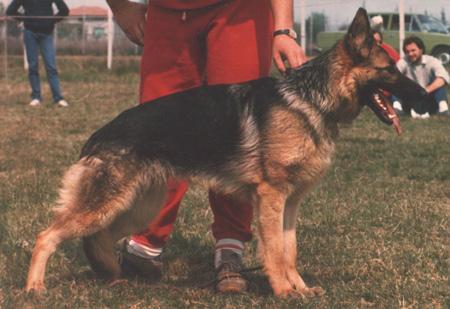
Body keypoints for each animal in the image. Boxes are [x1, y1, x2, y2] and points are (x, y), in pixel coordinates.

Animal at [26, 9, 428, 296]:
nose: (425, 96)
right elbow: (275, 251)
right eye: (389, 70)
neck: (311, 99)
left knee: (101, 238)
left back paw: (113, 277)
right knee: (48, 235)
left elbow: (290, 249)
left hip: (137, 206)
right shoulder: (271, 197)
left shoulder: (290, 203)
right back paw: (35, 287)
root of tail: (98, 135)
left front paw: (299, 288)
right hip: (108, 204)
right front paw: (283, 291)